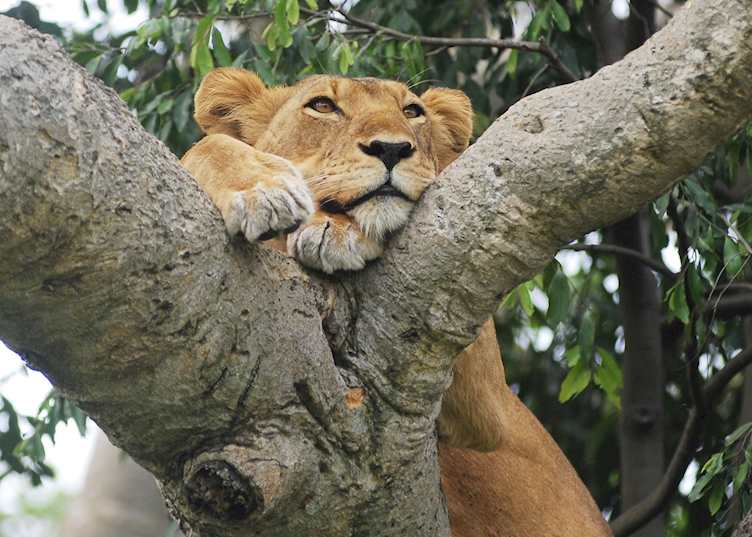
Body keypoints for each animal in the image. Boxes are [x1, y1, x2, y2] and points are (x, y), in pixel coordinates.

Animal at [181, 67, 613, 537]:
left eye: (412, 111)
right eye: (322, 106)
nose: (392, 148)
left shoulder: (487, 401)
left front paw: (335, 230)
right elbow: (202, 147)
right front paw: (265, 190)